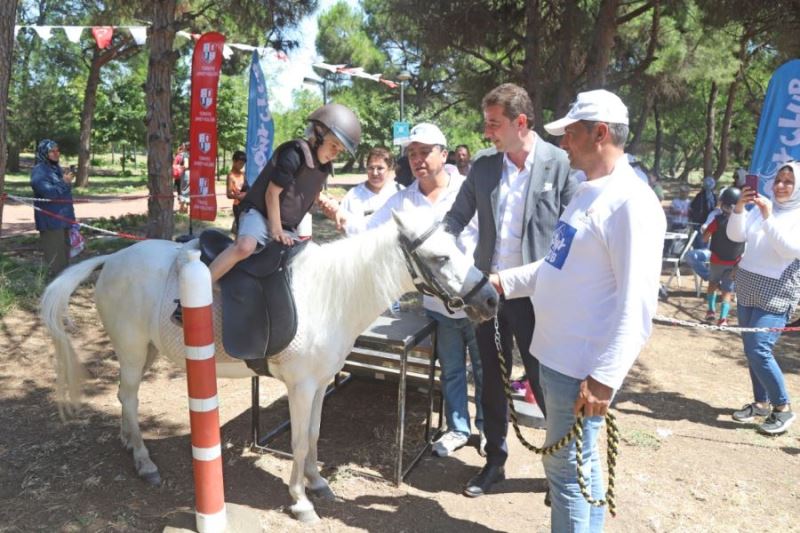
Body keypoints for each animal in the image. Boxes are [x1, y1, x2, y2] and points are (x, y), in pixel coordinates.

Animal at [42, 210, 500, 520]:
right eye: (440, 257)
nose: (491, 298)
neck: (330, 292)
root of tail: (114, 259)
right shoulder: (300, 386)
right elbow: (296, 441)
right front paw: (300, 501)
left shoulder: (320, 384)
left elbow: (313, 436)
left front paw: (317, 482)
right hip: (134, 350)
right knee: (131, 398)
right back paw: (143, 461)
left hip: (147, 350)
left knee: (125, 399)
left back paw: (127, 441)